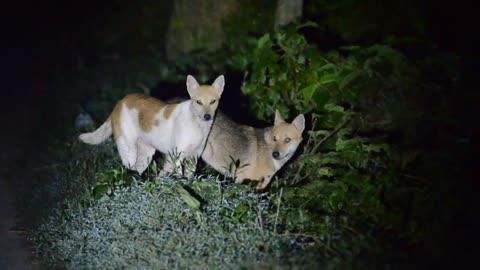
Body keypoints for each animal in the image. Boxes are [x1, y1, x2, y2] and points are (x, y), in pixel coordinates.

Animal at [80, 75, 225, 176]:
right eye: (198, 102)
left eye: (213, 101)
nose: (207, 116)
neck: (196, 124)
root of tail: (119, 102)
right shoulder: (177, 157)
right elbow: (180, 177)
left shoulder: (193, 158)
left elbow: (189, 178)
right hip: (129, 150)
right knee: (128, 172)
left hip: (146, 155)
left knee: (137, 172)